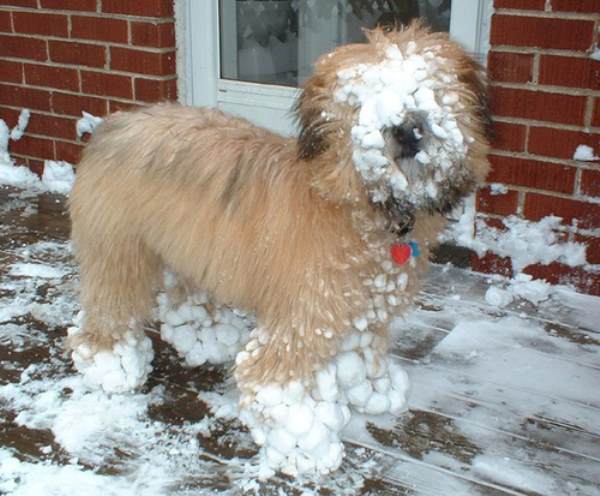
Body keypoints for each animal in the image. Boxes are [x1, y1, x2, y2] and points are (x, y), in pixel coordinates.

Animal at [68, 22, 490, 476]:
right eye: (362, 98)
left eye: (430, 88)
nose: (407, 130)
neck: (356, 205)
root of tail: (112, 124)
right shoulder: (304, 313)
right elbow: (273, 378)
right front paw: (305, 446)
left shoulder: (363, 307)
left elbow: (363, 351)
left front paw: (373, 390)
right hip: (119, 249)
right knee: (109, 306)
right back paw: (111, 366)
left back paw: (204, 337)